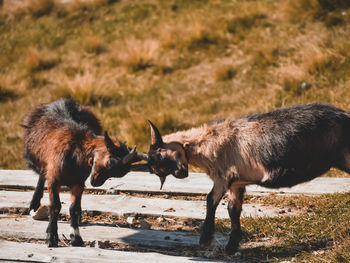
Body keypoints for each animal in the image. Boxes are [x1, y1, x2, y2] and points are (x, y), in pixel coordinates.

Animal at [22, 99, 141, 248]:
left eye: (121, 173)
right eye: (110, 163)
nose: (96, 183)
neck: (76, 152)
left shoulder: (78, 183)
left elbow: (73, 208)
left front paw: (76, 237)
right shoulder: (54, 179)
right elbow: (55, 206)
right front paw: (51, 237)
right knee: (42, 175)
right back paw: (34, 204)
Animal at [146, 103, 350, 256]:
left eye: (161, 155)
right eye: (158, 171)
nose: (181, 173)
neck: (205, 144)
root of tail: (344, 115)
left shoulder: (223, 177)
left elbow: (210, 200)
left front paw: (206, 239)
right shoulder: (236, 183)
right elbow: (232, 209)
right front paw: (231, 246)